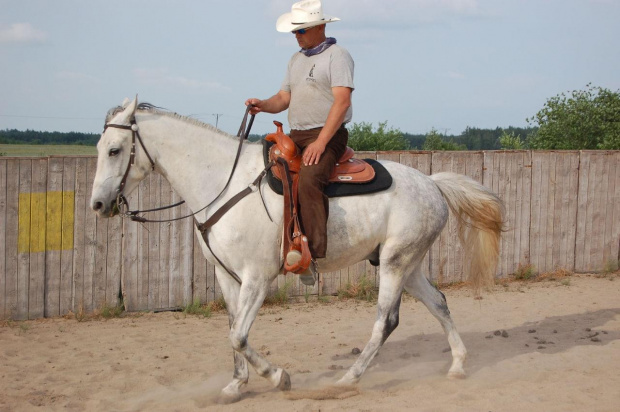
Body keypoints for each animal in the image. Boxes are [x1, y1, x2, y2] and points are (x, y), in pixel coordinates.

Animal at [91, 97, 504, 402]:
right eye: (99, 148)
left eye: (114, 150)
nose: (97, 204)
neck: (223, 184)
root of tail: (432, 183)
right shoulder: (225, 275)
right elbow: (232, 328)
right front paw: (236, 385)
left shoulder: (257, 278)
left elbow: (238, 335)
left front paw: (278, 377)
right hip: (409, 264)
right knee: (439, 303)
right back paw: (457, 366)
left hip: (395, 263)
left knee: (386, 321)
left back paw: (347, 380)